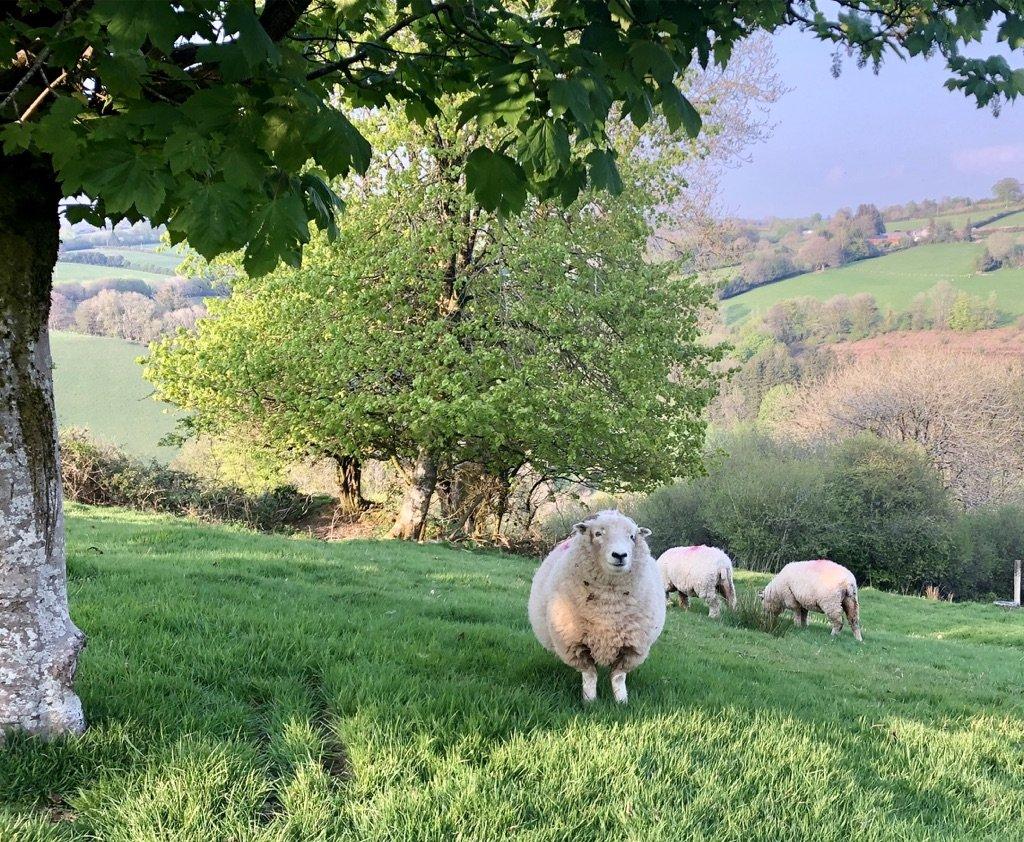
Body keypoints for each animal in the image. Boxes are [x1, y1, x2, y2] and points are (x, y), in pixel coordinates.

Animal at [528, 508, 663, 704]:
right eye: (598, 533)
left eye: (632, 536)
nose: (620, 555)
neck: (608, 605)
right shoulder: (575, 643)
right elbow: (590, 675)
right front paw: (590, 702)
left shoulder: (631, 647)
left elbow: (618, 677)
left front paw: (622, 702)